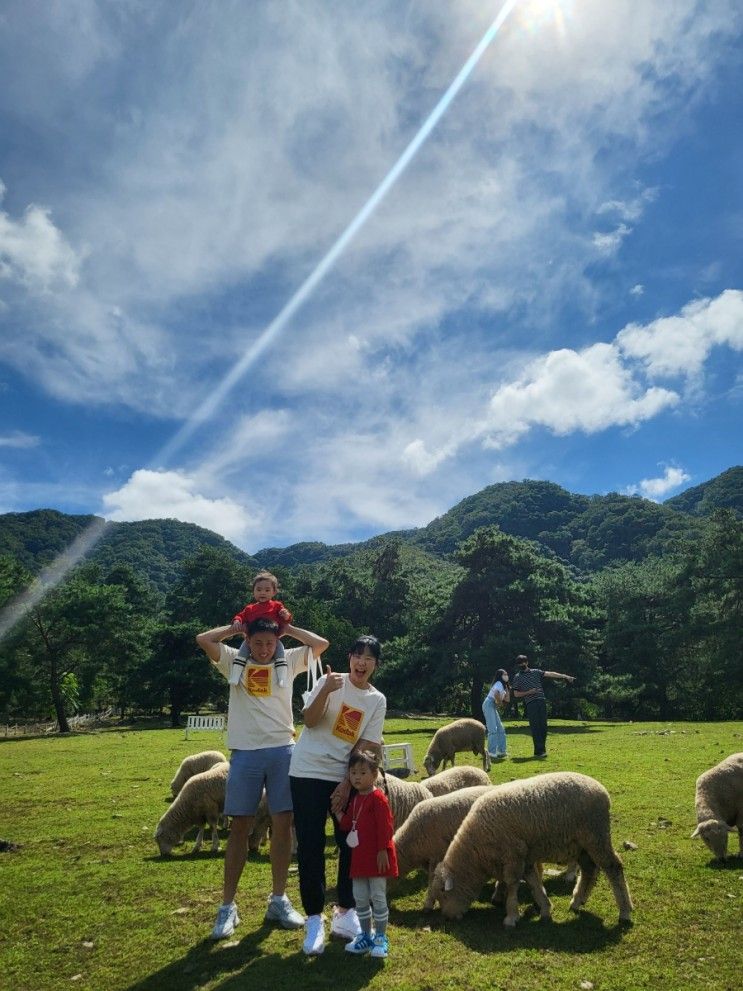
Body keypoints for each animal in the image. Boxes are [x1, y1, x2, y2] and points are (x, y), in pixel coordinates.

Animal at [430, 772, 632, 928]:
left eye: (443, 892)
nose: (447, 917)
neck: (476, 853)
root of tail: (601, 789)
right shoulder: (524, 858)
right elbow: (534, 882)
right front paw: (545, 908)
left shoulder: (513, 855)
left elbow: (512, 884)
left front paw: (511, 916)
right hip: (581, 845)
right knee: (589, 869)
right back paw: (576, 902)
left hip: (596, 835)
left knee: (613, 868)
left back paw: (625, 912)